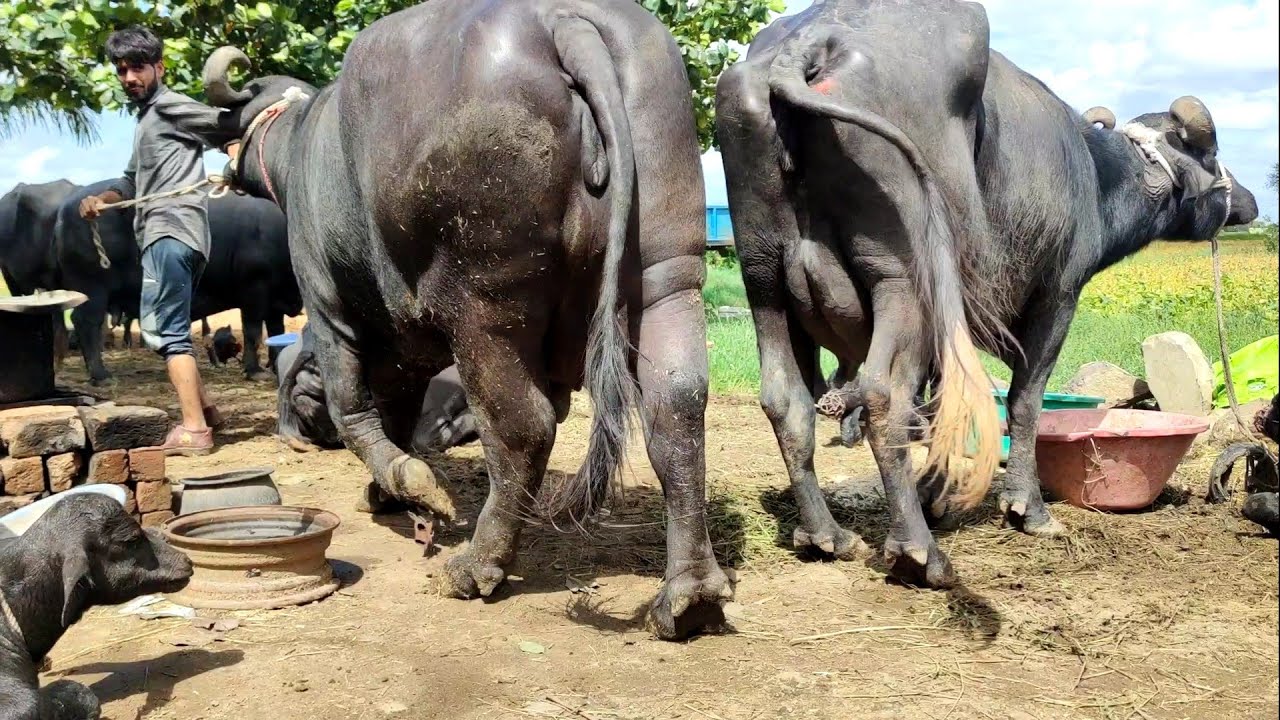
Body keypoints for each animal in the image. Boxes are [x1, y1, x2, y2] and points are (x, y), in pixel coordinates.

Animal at [197, 0, 732, 638]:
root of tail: (564, 22)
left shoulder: (328, 308)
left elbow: (354, 409)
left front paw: (414, 487)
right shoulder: (402, 346)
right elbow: (397, 410)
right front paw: (389, 492)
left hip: (484, 303)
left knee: (524, 428)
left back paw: (478, 565)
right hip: (667, 276)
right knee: (676, 409)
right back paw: (690, 593)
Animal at [716, 0, 1257, 587]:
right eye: (1213, 153)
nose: (1249, 202)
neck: (1095, 177)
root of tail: (811, 43)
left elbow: (943, 407)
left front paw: (936, 494)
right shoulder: (1058, 294)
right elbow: (1023, 400)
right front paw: (1026, 508)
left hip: (765, 282)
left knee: (787, 401)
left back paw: (825, 534)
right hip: (906, 283)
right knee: (884, 398)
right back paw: (917, 551)